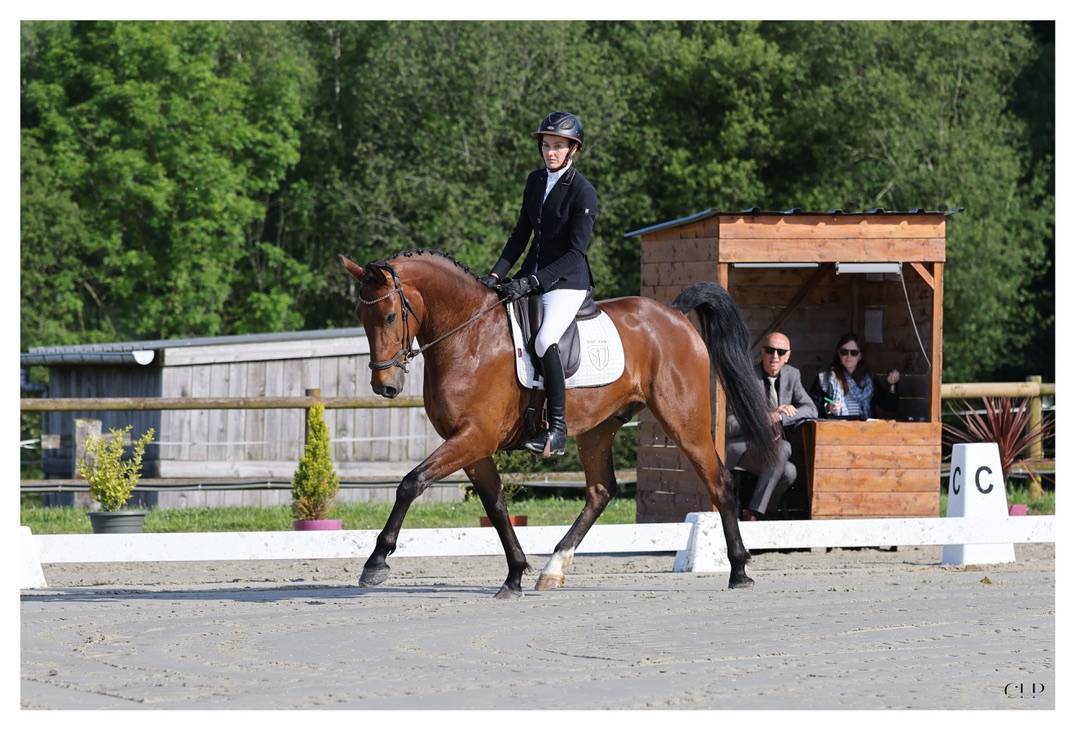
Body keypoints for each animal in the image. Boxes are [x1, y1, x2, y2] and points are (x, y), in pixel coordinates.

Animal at [340, 249, 777, 598]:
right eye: (360, 315)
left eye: (390, 316)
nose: (385, 385)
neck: (469, 336)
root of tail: (674, 315)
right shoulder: (472, 446)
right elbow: (496, 506)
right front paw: (515, 575)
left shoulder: (474, 437)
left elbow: (411, 483)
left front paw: (376, 562)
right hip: (599, 428)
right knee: (601, 491)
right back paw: (552, 569)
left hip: (684, 419)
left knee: (719, 480)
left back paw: (740, 571)